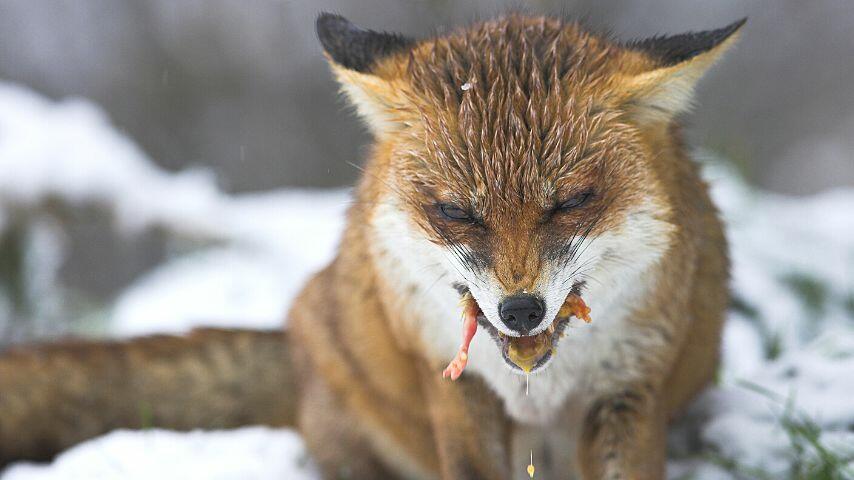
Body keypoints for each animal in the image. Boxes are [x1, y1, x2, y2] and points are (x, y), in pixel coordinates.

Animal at [0, 12, 744, 480]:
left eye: (570, 203)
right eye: (454, 212)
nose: (522, 311)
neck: (539, 384)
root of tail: (299, 337)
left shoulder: (628, 391)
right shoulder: (455, 386)